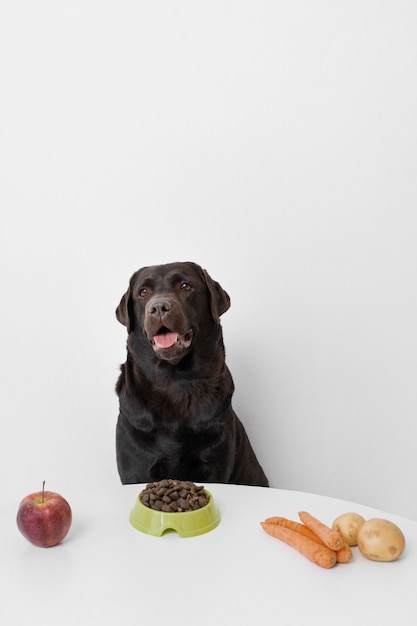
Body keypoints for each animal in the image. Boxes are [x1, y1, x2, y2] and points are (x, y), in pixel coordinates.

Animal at [115, 260, 268, 486]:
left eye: (185, 286)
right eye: (143, 292)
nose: (158, 307)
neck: (175, 381)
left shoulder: (214, 465)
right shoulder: (136, 468)